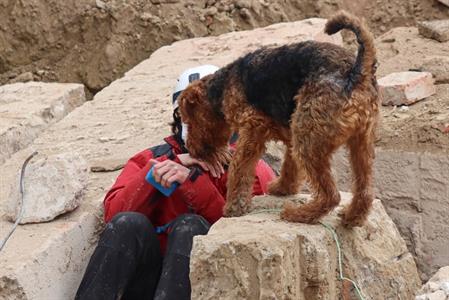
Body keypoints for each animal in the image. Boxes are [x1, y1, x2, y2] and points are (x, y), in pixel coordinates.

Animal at [178, 12, 378, 227]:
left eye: (188, 120)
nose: (191, 149)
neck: (221, 88)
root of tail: (356, 72)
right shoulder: (290, 134)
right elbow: (289, 165)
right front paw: (283, 188)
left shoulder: (252, 128)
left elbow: (240, 169)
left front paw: (234, 207)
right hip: (359, 142)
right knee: (365, 191)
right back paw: (352, 217)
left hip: (308, 139)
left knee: (331, 195)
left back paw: (296, 214)